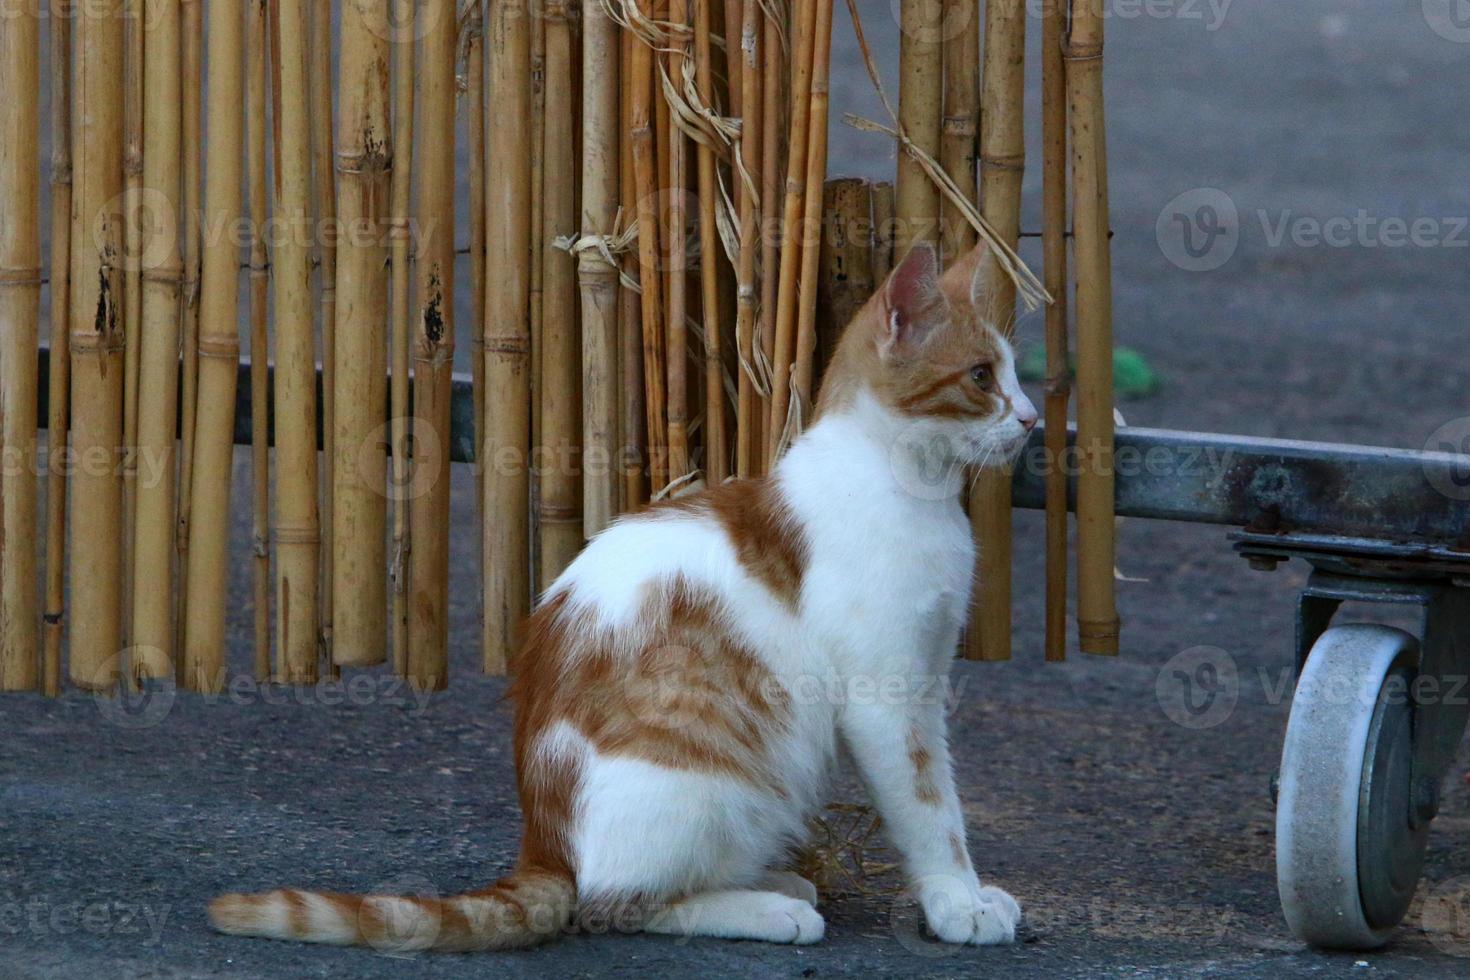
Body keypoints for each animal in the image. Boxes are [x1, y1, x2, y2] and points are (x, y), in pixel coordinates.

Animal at [207, 238, 1040, 952]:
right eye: (981, 378)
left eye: (1015, 375)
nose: (1031, 419)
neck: (908, 485)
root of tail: (544, 845)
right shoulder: (888, 696)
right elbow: (932, 809)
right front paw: (957, 903)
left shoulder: (926, 676)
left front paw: (965, 898)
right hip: (710, 784)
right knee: (612, 902)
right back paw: (765, 908)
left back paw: (772, 881)